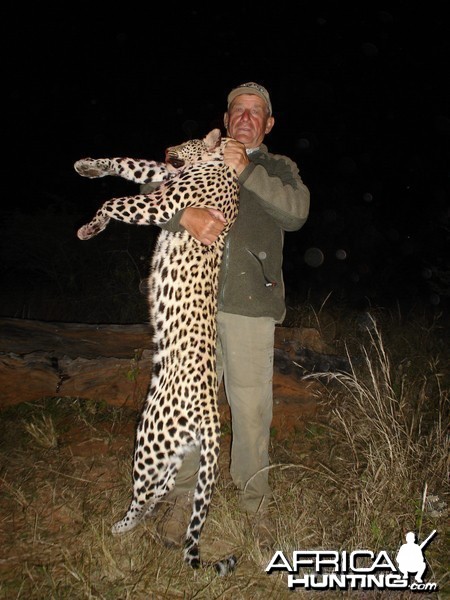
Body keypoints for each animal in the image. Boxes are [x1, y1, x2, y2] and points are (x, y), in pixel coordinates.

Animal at [74, 129, 239, 576]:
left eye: (190, 138)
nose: (168, 147)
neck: (221, 164)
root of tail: (211, 416)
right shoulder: (163, 178)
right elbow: (132, 165)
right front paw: (87, 166)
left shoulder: (163, 202)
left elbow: (114, 202)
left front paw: (91, 227)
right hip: (174, 451)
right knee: (158, 490)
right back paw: (142, 523)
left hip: (149, 437)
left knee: (143, 491)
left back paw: (118, 527)